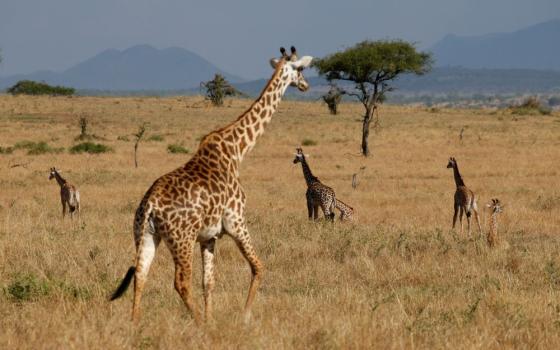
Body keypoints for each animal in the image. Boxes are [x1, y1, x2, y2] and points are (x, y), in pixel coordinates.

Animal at [109, 46, 316, 322]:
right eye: (300, 69)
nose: (305, 85)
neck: (237, 150)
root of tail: (150, 205)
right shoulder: (236, 221)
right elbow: (258, 267)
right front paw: (243, 317)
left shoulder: (209, 236)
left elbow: (209, 282)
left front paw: (212, 319)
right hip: (182, 239)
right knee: (180, 282)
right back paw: (197, 322)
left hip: (145, 234)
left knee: (140, 274)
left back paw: (135, 323)